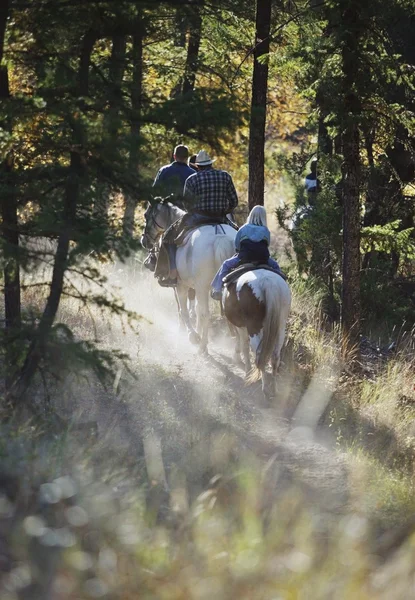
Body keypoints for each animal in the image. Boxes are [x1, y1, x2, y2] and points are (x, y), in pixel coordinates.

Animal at [141, 200, 236, 352]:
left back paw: (202, 348)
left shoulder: (181, 286)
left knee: (205, 314)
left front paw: (192, 335)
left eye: (146, 215)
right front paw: (196, 332)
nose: (144, 241)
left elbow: (183, 310)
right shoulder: (195, 287)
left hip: (202, 287)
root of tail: (220, 236)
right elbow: (195, 309)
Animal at [224, 268, 292, 400]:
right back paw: (274, 389)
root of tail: (268, 282)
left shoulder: (242, 327)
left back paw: (264, 388)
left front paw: (247, 370)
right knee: (275, 356)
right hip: (281, 327)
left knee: (260, 356)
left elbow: (244, 346)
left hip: (253, 328)